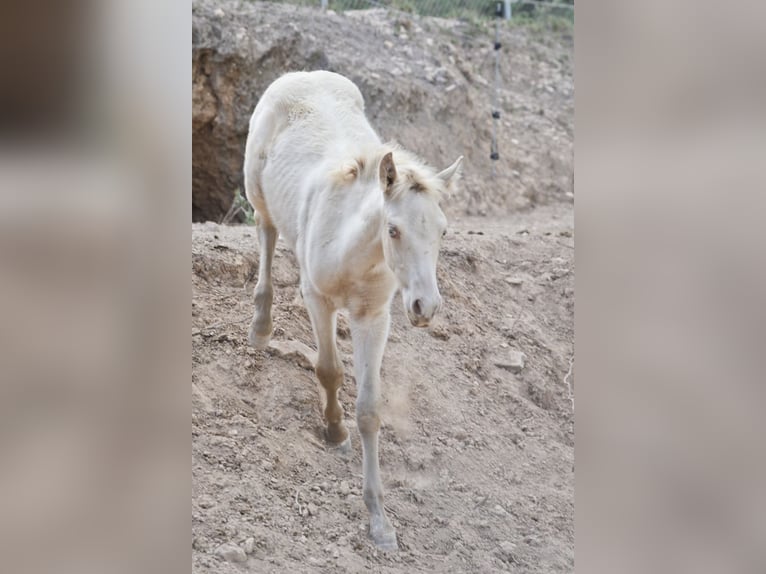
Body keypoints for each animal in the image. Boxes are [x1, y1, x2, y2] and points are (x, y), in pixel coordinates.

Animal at [244, 70, 462, 552]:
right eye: (393, 229)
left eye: (442, 231)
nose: (425, 307)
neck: (353, 252)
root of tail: (301, 75)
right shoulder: (317, 300)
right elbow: (329, 370)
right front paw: (334, 432)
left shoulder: (373, 317)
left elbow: (369, 409)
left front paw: (379, 521)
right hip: (257, 194)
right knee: (266, 234)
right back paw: (261, 327)